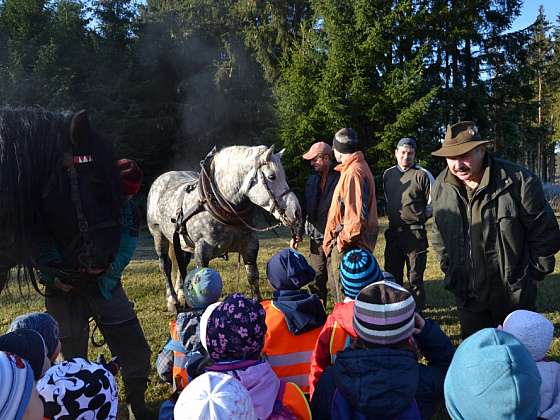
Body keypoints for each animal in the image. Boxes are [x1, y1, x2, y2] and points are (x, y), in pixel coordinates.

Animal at [147, 144, 300, 312]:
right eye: (272, 176)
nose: (296, 211)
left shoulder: (250, 247)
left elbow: (253, 278)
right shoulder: (202, 251)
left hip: (182, 242)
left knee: (182, 264)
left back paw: (182, 295)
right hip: (158, 234)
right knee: (165, 265)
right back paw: (173, 300)